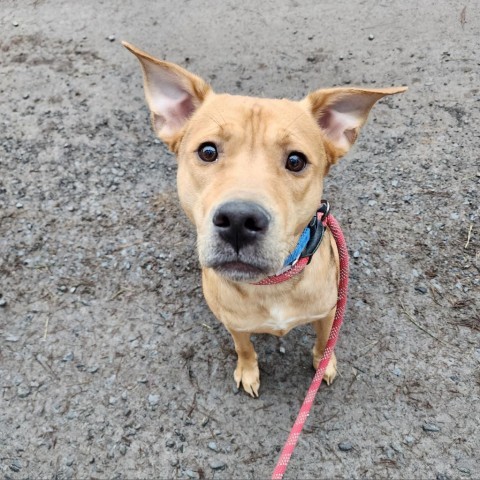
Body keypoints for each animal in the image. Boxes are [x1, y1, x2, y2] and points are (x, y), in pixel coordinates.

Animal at [123, 43, 404, 398]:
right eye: (208, 152)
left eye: (296, 160)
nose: (238, 220)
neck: (274, 286)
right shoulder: (234, 323)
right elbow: (244, 347)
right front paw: (248, 370)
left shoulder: (327, 312)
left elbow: (324, 341)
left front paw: (323, 363)